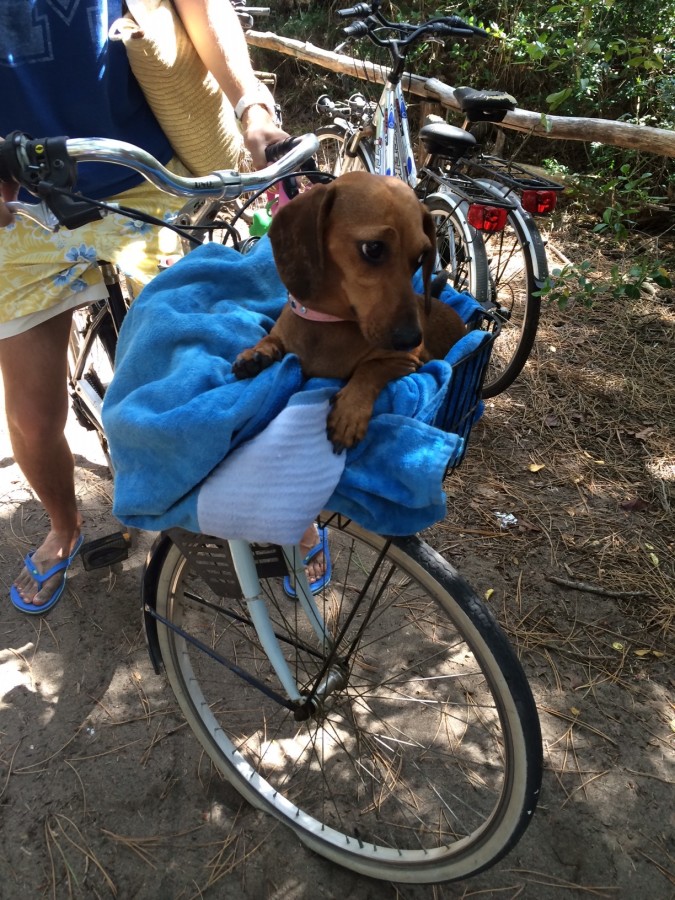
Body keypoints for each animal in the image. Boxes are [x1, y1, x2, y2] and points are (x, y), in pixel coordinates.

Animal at [232, 171, 464, 450]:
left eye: (420, 258)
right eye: (373, 248)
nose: (411, 339)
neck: (327, 322)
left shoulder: (409, 361)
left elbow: (371, 369)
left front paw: (349, 412)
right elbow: (271, 337)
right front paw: (256, 353)